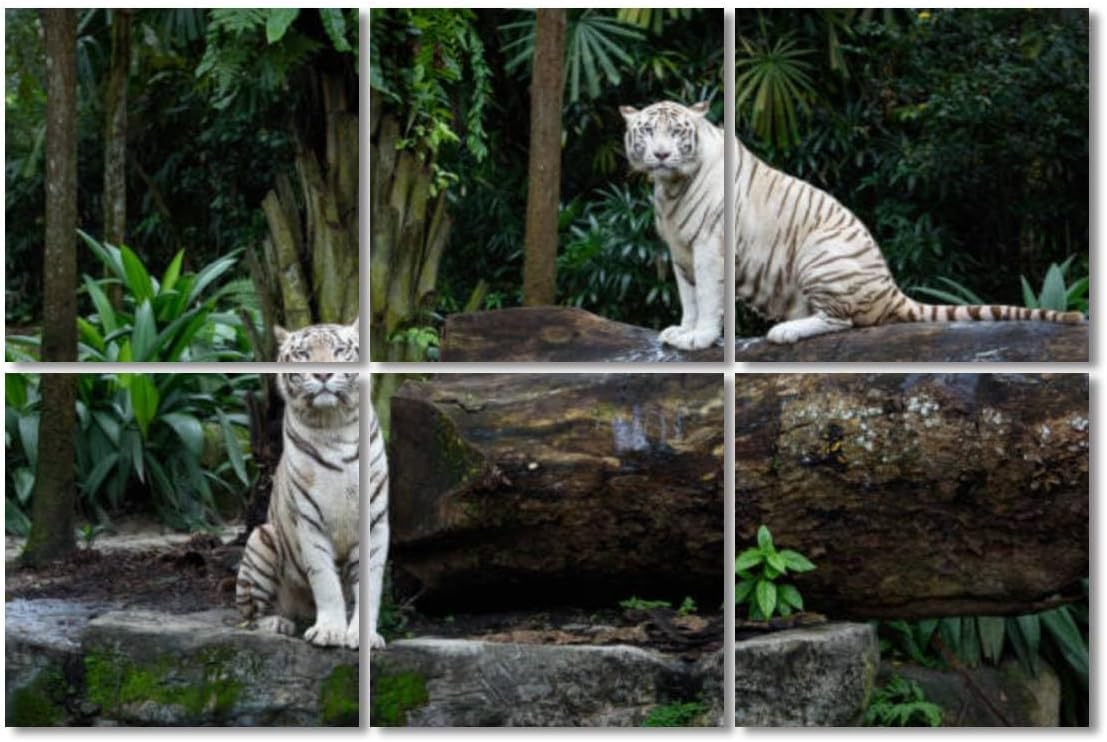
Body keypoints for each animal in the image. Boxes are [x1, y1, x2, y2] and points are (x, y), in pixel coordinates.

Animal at [236, 319, 367, 649]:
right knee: (250, 615)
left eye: (339, 350)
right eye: (303, 354)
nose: (322, 374)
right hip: (261, 539)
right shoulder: (308, 516)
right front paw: (330, 632)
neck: (333, 426)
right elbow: (324, 577)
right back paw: (278, 623)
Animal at [623, 100, 1085, 346]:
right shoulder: (680, 251)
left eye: (676, 133)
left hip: (820, 254)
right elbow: (690, 297)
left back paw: (784, 331)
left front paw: (699, 338)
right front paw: (681, 331)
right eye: (647, 132)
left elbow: (709, 298)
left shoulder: (708, 247)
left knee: (841, 320)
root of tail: (890, 289)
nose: (661, 154)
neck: (670, 189)